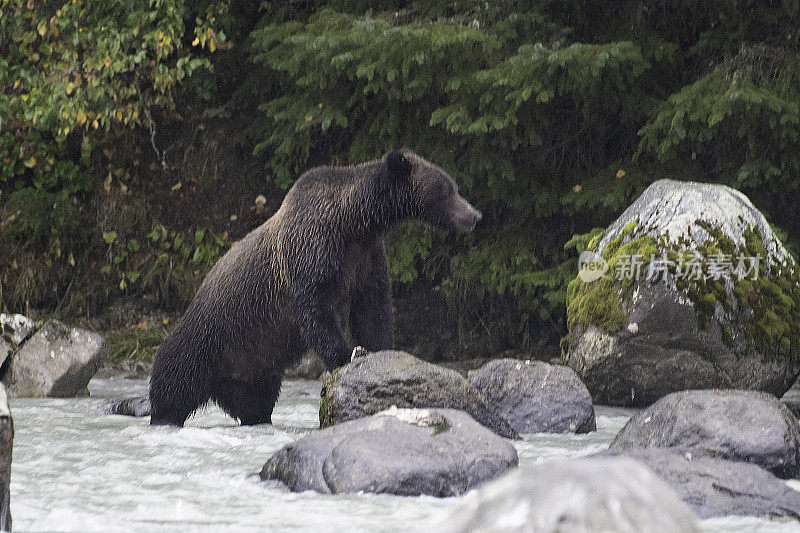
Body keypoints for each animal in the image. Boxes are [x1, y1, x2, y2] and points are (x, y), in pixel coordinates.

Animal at [150, 148, 482, 426]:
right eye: (447, 189)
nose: (475, 215)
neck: (353, 221)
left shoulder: (365, 256)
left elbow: (372, 306)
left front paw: (379, 350)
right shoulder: (312, 250)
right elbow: (315, 309)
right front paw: (349, 353)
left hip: (252, 364)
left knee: (255, 402)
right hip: (207, 338)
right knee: (173, 384)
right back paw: (164, 416)